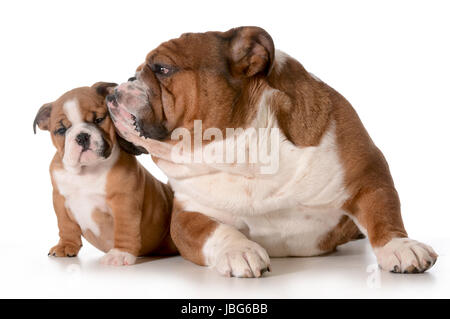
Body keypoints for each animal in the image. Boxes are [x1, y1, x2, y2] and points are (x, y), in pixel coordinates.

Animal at [33, 82, 176, 264]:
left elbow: (125, 227)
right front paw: (66, 246)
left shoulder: (124, 201)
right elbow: (65, 225)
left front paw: (120, 253)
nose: (82, 136)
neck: (87, 170)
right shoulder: (60, 199)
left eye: (99, 120)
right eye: (61, 130)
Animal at [107, 26, 438, 278]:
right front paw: (239, 250)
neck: (242, 156)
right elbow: (214, 230)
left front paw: (400, 246)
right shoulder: (188, 215)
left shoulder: (367, 173)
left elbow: (383, 211)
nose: (115, 90)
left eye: (162, 68)